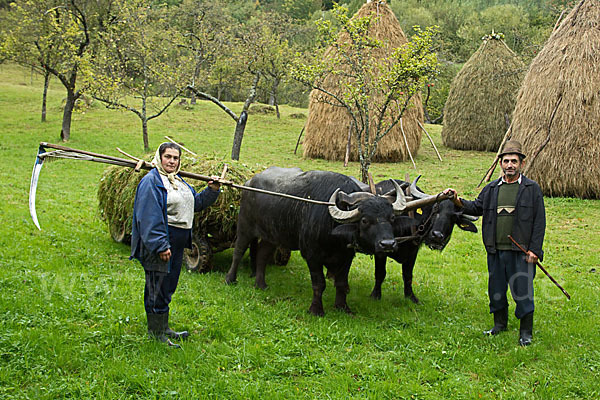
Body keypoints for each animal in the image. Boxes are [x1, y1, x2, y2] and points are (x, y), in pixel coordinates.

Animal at [225, 166, 408, 316]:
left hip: (272, 235)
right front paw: (316, 310)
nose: (388, 244)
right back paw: (230, 279)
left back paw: (260, 284)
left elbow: (341, 283)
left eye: (392, 218)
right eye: (364, 220)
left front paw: (343, 307)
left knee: (262, 255)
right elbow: (319, 284)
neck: (334, 231)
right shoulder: (312, 256)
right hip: (245, 227)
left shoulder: (346, 257)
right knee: (238, 251)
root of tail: (249, 182)